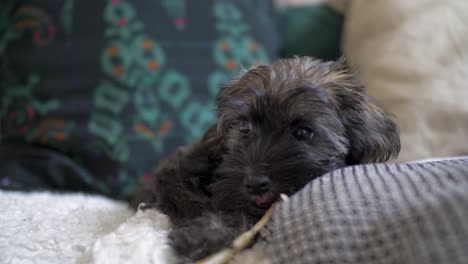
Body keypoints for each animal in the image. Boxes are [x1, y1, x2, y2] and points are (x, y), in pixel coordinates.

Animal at [131, 56, 398, 260]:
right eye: (244, 126)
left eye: (303, 132)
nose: (255, 183)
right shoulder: (175, 173)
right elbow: (198, 201)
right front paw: (207, 234)